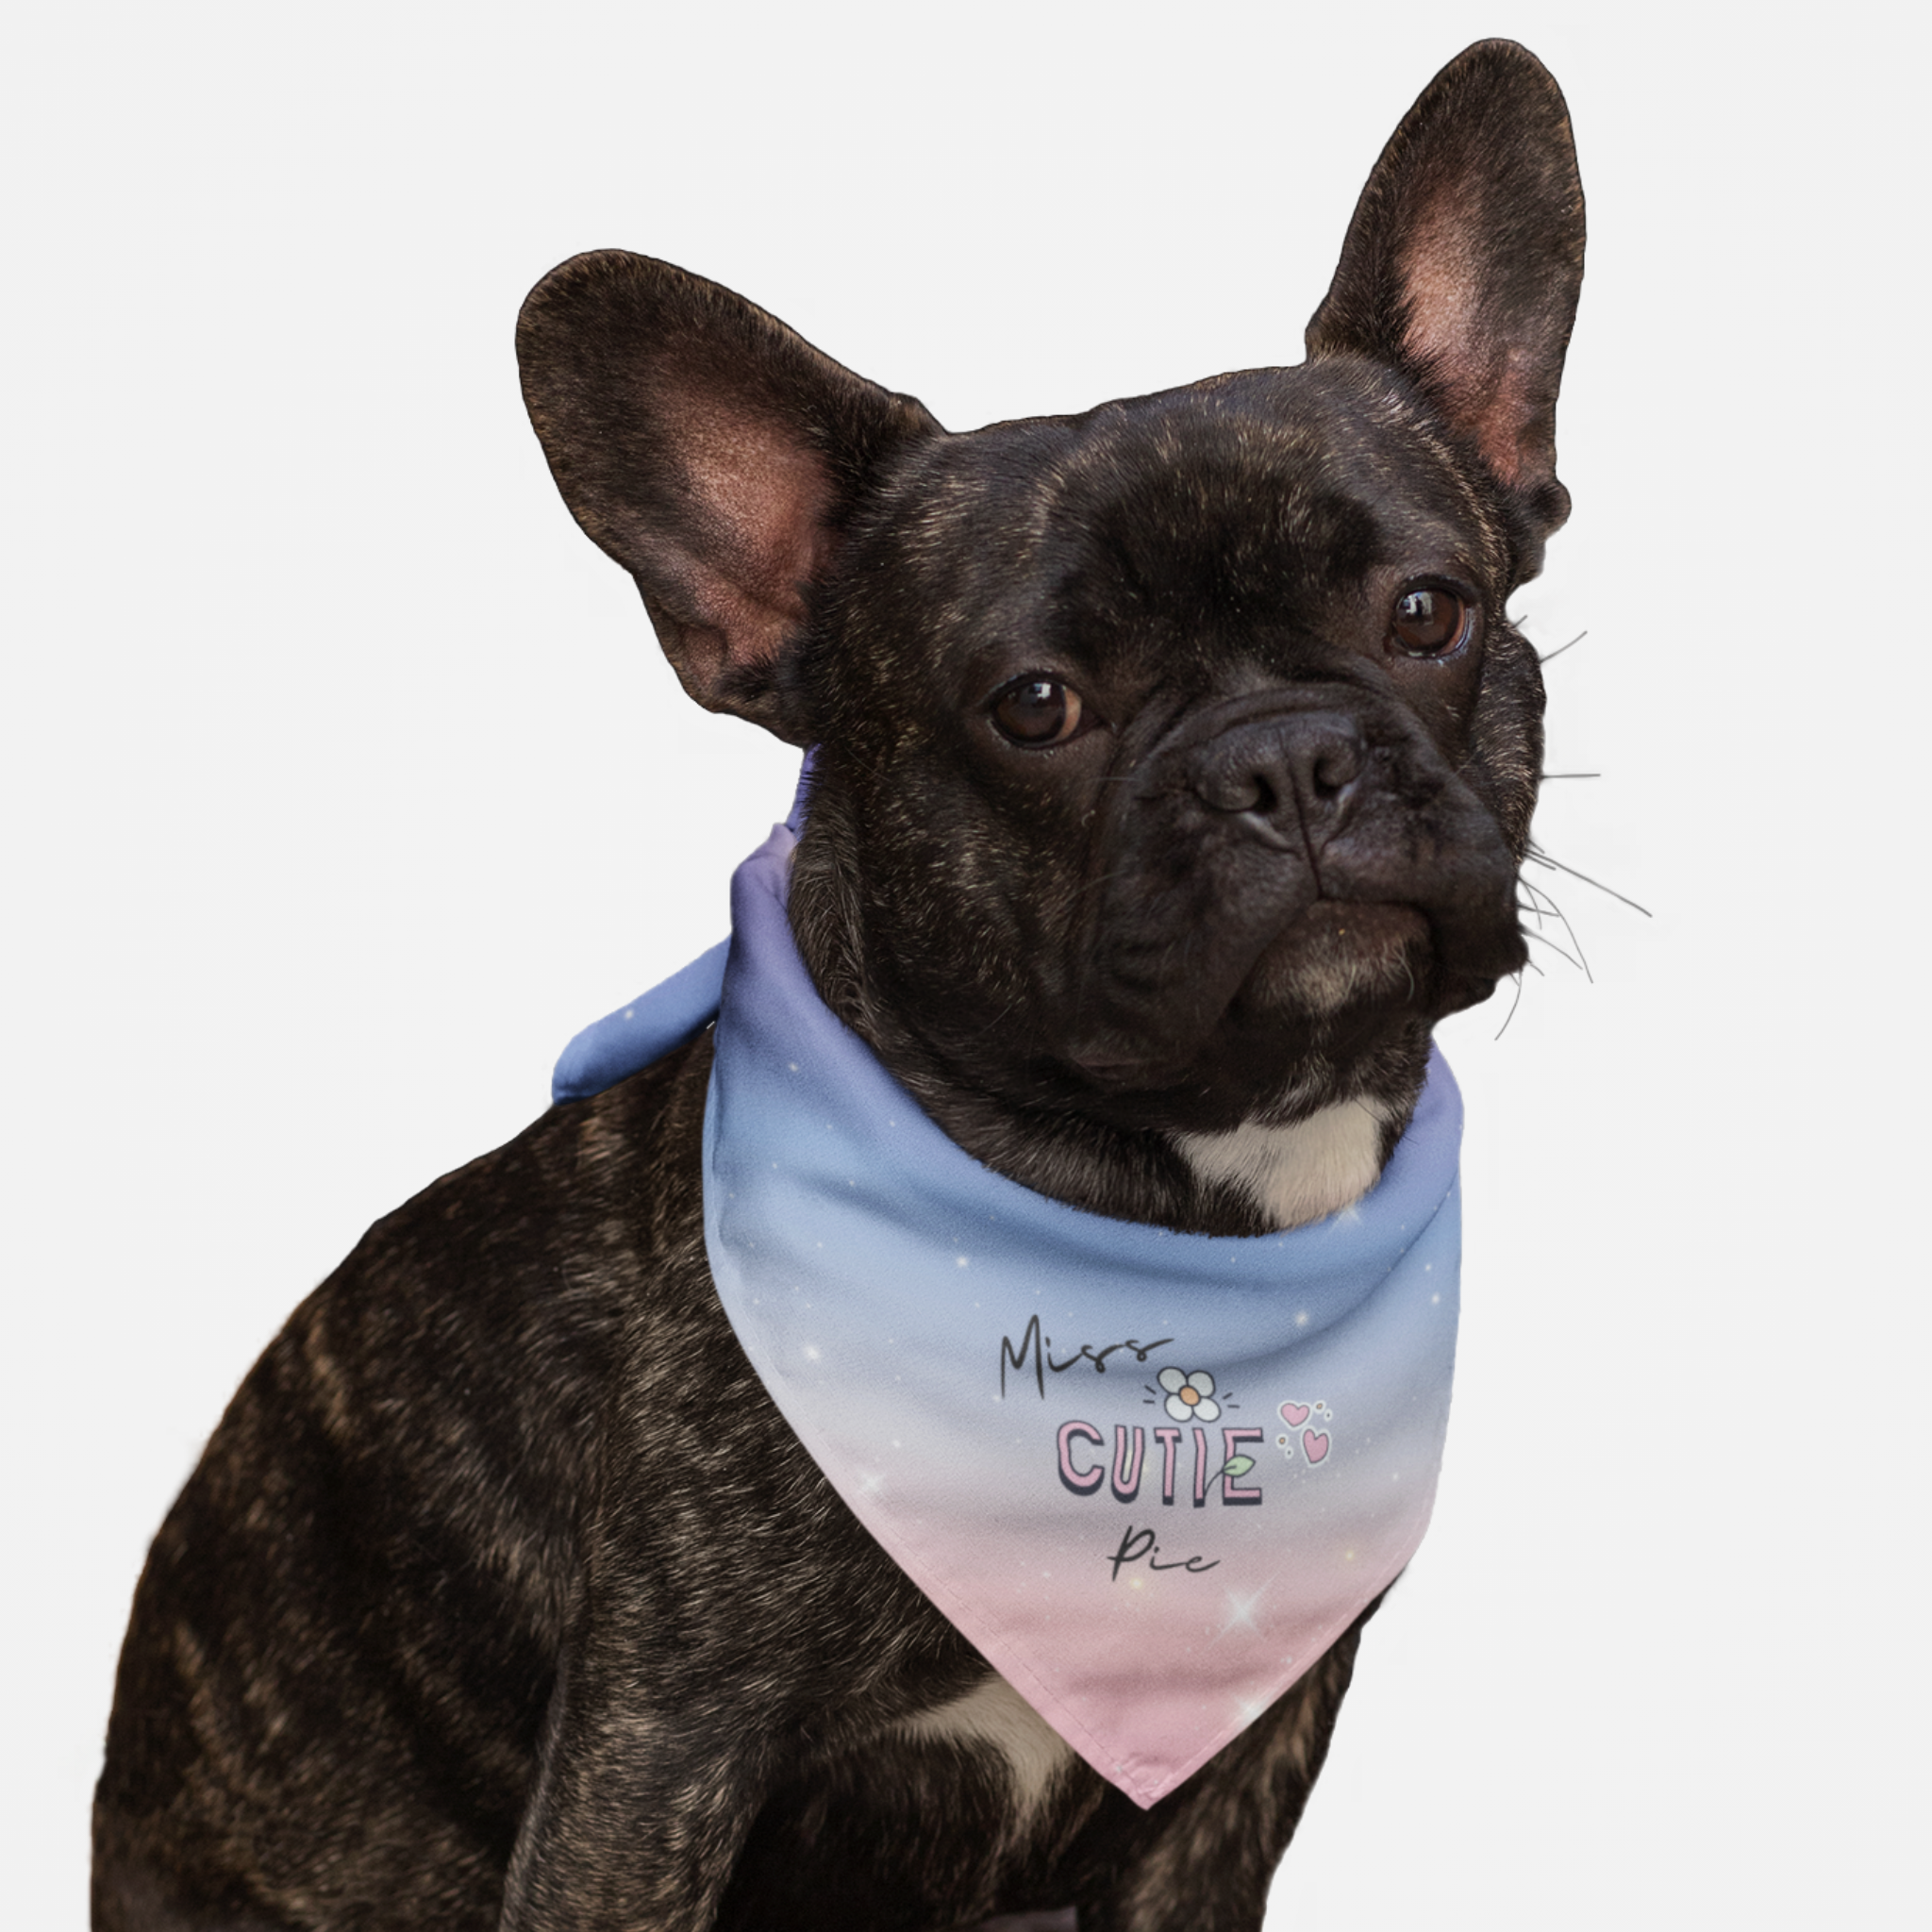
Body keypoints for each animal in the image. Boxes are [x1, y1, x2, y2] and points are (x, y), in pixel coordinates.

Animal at [93, 34, 1584, 1932]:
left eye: (1426, 610)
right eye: (1035, 705)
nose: (1287, 760)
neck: (1165, 1212)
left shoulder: (1234, 1769)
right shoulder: (656, 1752)